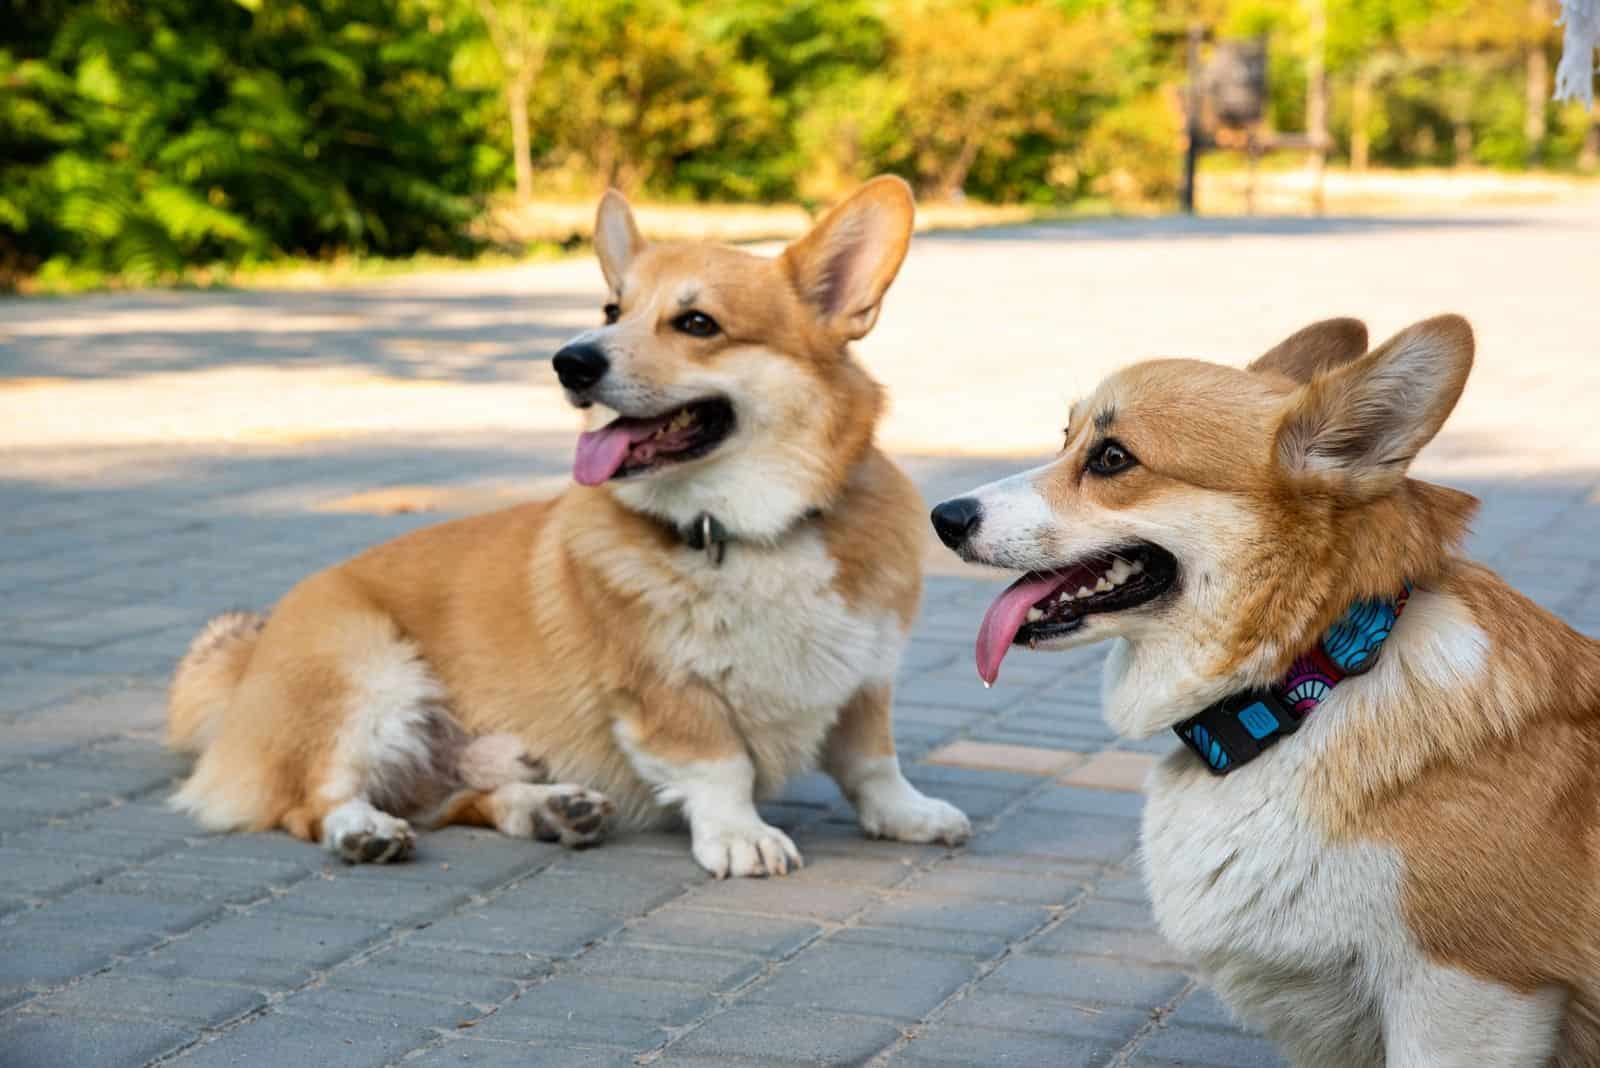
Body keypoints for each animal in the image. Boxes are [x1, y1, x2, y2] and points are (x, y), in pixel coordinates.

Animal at [165, 175, 960, 876]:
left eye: (697, 323)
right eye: (612, 310)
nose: (568, 362)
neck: (744, 532)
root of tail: (250, 656)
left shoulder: (866, 679)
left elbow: (872, 762)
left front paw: (909, 815)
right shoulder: (666, 695)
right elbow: (721, 768)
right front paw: (741, 837)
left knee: (455, 799)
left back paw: (550, 809)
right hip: (364, 673)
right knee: (310, 801)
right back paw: (363, 830)